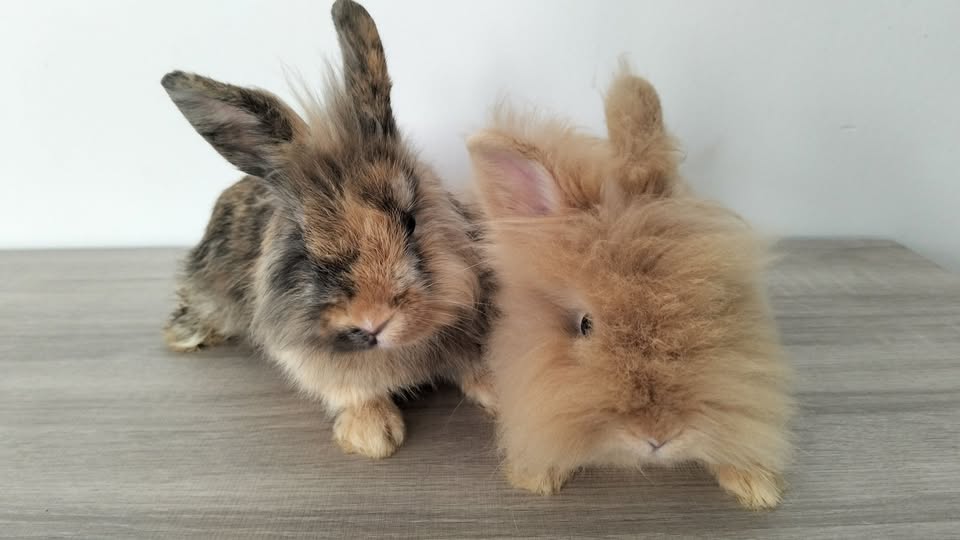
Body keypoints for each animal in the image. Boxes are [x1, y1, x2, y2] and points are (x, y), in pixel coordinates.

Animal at [161, 0, 495, 459]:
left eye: (410, 221)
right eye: (305, 243)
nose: (371, 322)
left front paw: (501, 393)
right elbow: (352, 392)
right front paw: (374, 436)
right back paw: (184, 335)